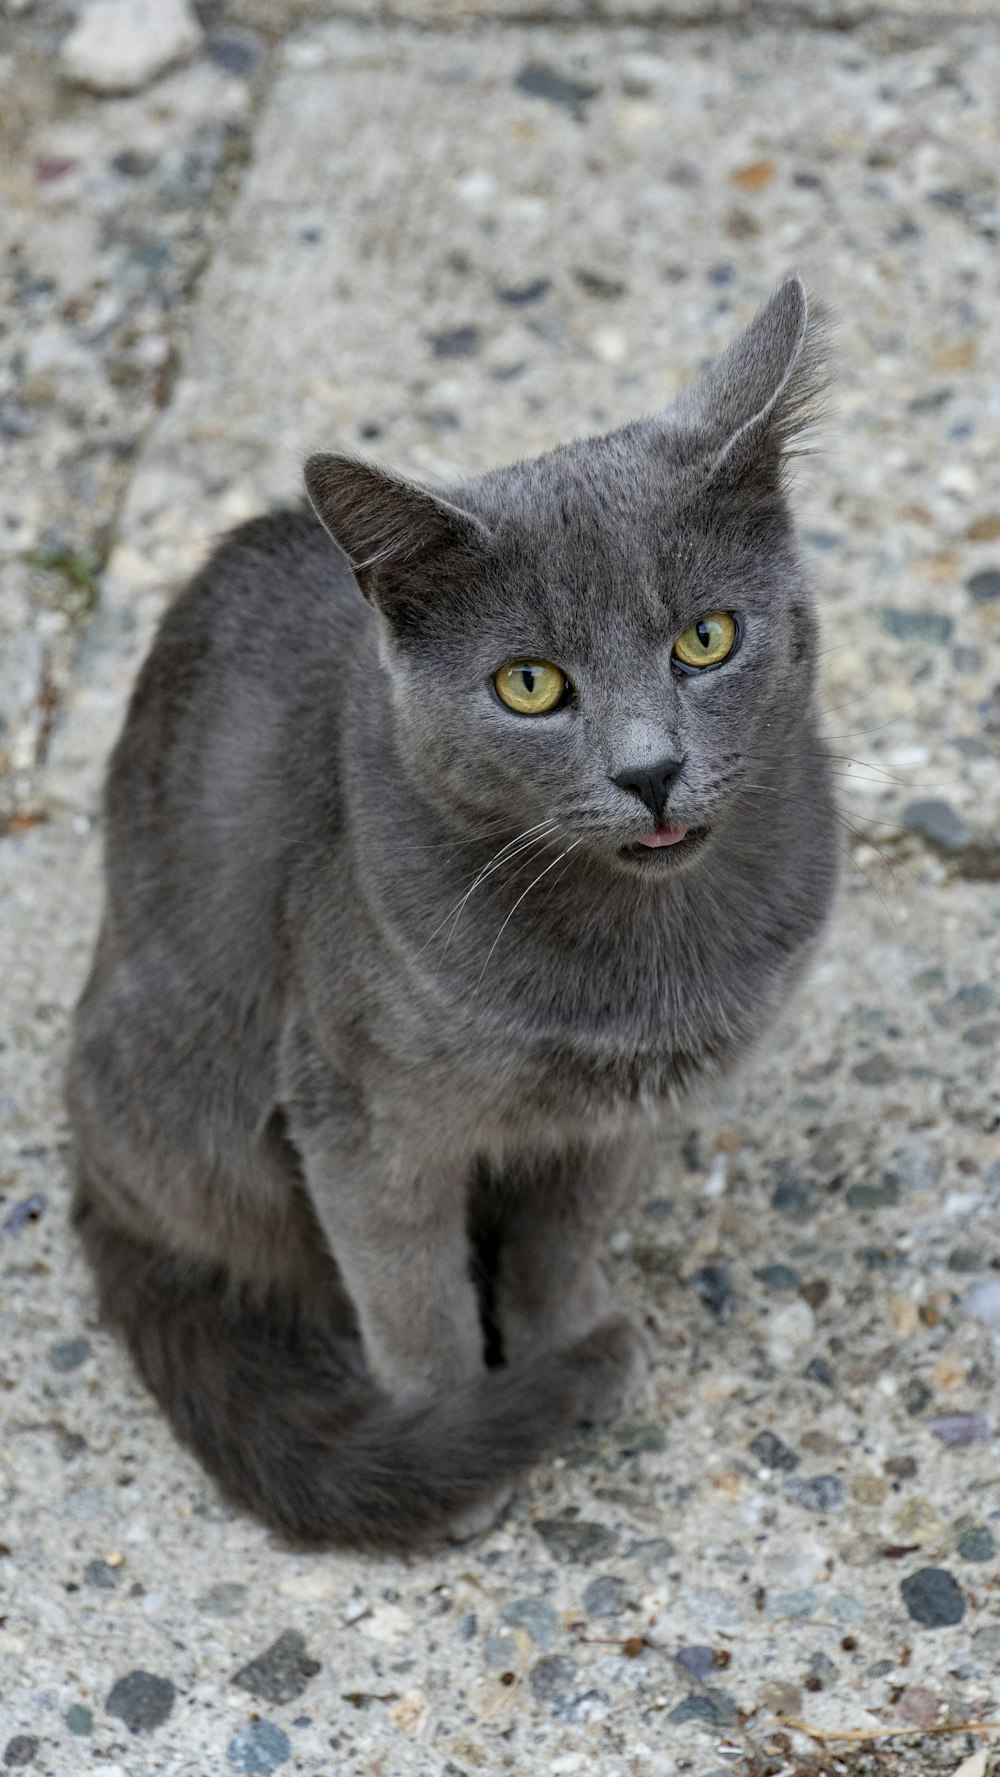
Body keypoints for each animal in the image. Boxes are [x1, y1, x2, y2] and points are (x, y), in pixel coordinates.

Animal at [66, 273, 841, 1542]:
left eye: (706, 637)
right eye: (529, 685)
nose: (650, 769)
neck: (639, 960)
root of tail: (88, 1165)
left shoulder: (625, 1110)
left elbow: (559, 1237)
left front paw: (563, 1340)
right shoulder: (360, 1111)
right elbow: (409, 1284)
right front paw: (456, 1435)